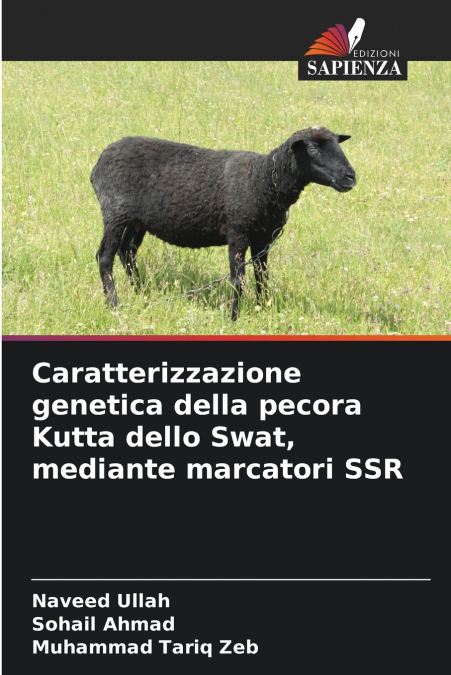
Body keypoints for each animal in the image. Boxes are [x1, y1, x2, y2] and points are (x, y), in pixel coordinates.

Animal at [91, 126, 356, 320]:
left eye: (338, 144)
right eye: (311, 148)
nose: (351, 176)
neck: (263, 179)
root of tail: (100, 160)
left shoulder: (263, 239)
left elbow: (262, 276)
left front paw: (263, 310)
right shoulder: (237, 232)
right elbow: (238, 280)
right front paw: (233, 318)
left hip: (136, 220)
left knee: (127, 252)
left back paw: (141, 293)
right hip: (115, 212)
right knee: (105, 256)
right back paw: (113, 304)